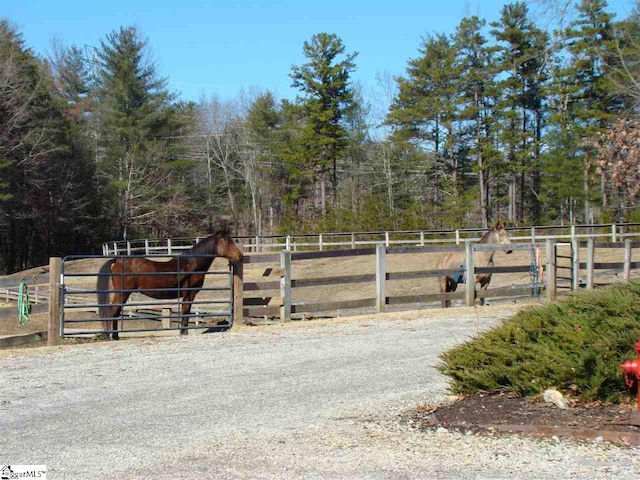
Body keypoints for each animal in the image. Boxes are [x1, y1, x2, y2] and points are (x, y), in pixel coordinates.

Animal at [97, 228, 242, 338]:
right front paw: (184, 333)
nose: (240, 256)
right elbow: (186, 312)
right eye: (227, 242)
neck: (192, 265)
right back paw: (114, 336)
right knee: (114, 312)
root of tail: (118, 260)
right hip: (122, 294)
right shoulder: (189, 294)